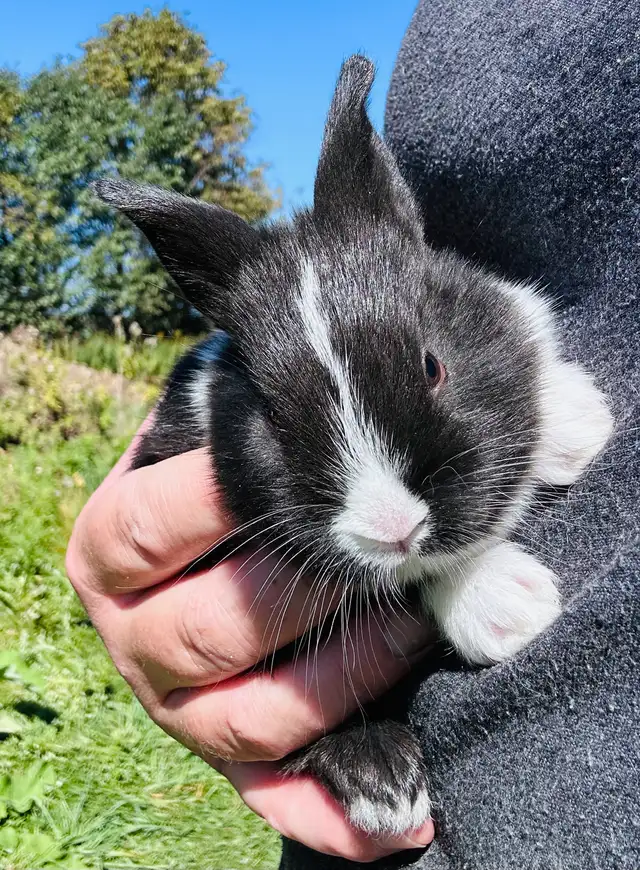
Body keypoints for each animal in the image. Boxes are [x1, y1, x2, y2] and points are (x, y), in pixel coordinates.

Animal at [94, 55, 613, 837]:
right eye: (272, 418)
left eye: (432, 364)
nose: (393, 528)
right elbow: (410, 579)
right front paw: (508, 606)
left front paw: (579, 420)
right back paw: (384, 781)